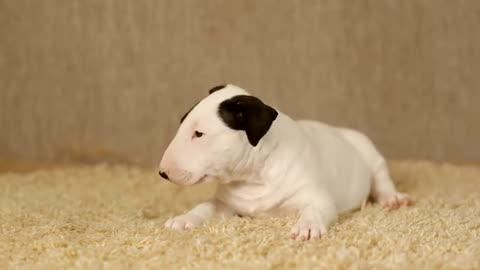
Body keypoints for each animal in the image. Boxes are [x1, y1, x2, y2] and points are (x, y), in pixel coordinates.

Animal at [158, 84, 412, 240]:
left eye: (199, 134)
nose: (162, 173)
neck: (255, 176)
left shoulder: (314, 195)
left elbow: (315, 209)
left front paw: (307, 227)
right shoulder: (225, 204)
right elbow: (205, 206)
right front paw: (183, 219)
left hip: (369, 151)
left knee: (382, 179)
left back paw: (393, 199)